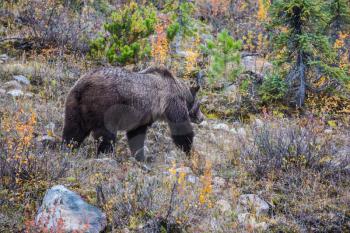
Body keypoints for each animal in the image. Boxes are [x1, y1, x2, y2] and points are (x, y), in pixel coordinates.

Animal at [63, 64, 204, 161]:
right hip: (105, 106)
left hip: (74, 105)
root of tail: (85, 86)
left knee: (73, 131)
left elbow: (136, 134)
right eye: (199, 105)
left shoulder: (142, 116)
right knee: (106, 135)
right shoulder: (172, 101)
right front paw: (189, 151)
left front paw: (140, 156)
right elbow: (180, 127)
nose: (202, 118)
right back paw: (106, 154)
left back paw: (68, 148)